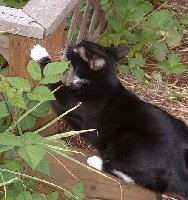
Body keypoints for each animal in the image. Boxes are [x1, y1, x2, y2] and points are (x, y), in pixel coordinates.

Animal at [30, 40, 188, 197]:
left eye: (77, 49)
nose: (70, 44)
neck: (102, 81)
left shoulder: (70, 101)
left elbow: (54, 83)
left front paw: (40, 53)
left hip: (130, 142)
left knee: (137, 177)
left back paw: (96, 161)